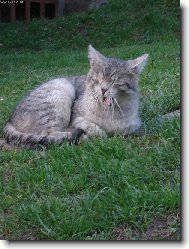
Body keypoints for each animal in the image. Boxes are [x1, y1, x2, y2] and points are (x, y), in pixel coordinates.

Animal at [2, 45, 148, 149]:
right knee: (48, 135)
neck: (109, 114)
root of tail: (10, 119)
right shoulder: (76, 116)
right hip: (60, 93)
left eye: (115, 81)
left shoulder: (133, 125)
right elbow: (92, 127)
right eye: (99, 78)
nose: (103, 89)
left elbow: (122, 131)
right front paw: (93, 133)